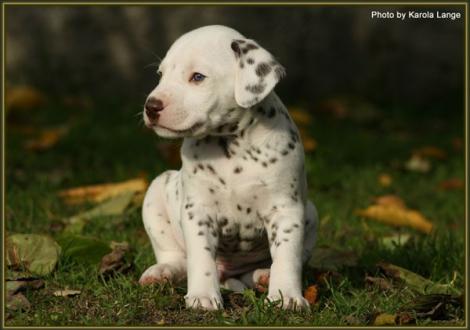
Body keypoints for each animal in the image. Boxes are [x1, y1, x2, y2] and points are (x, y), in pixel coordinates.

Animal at [138, 24, 318, 310]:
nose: (151, 106)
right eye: (161, 74)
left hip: (311, 212)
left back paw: (264, 275)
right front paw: (202, 296)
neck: (231, 144)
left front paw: (286, 296)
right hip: (156, 192)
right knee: (177, 258)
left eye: (198, 77)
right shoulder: (198, 211)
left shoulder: (286, 210)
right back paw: (161, 272)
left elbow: (287, 258)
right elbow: (201, 258)